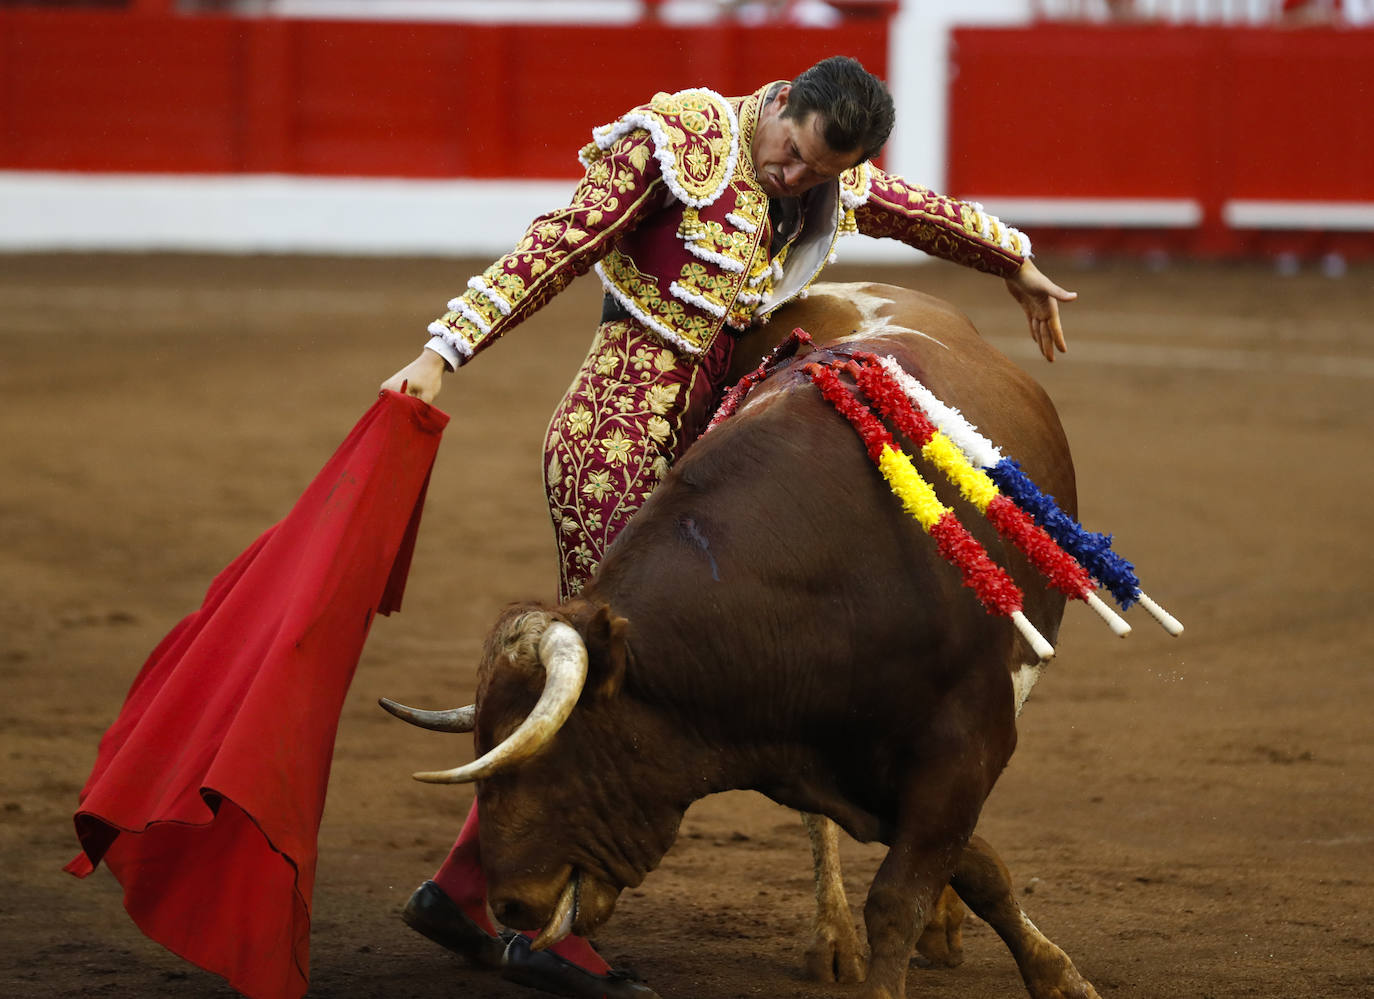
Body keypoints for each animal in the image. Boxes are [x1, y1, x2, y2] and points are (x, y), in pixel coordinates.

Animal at [387, 283, 1104, 999]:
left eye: (550, 756)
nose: (508, 903)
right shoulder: (809, 745)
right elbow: (960, 863)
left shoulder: (967, 741)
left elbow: (911, 893)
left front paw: (1057, 977)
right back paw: (833, 939)